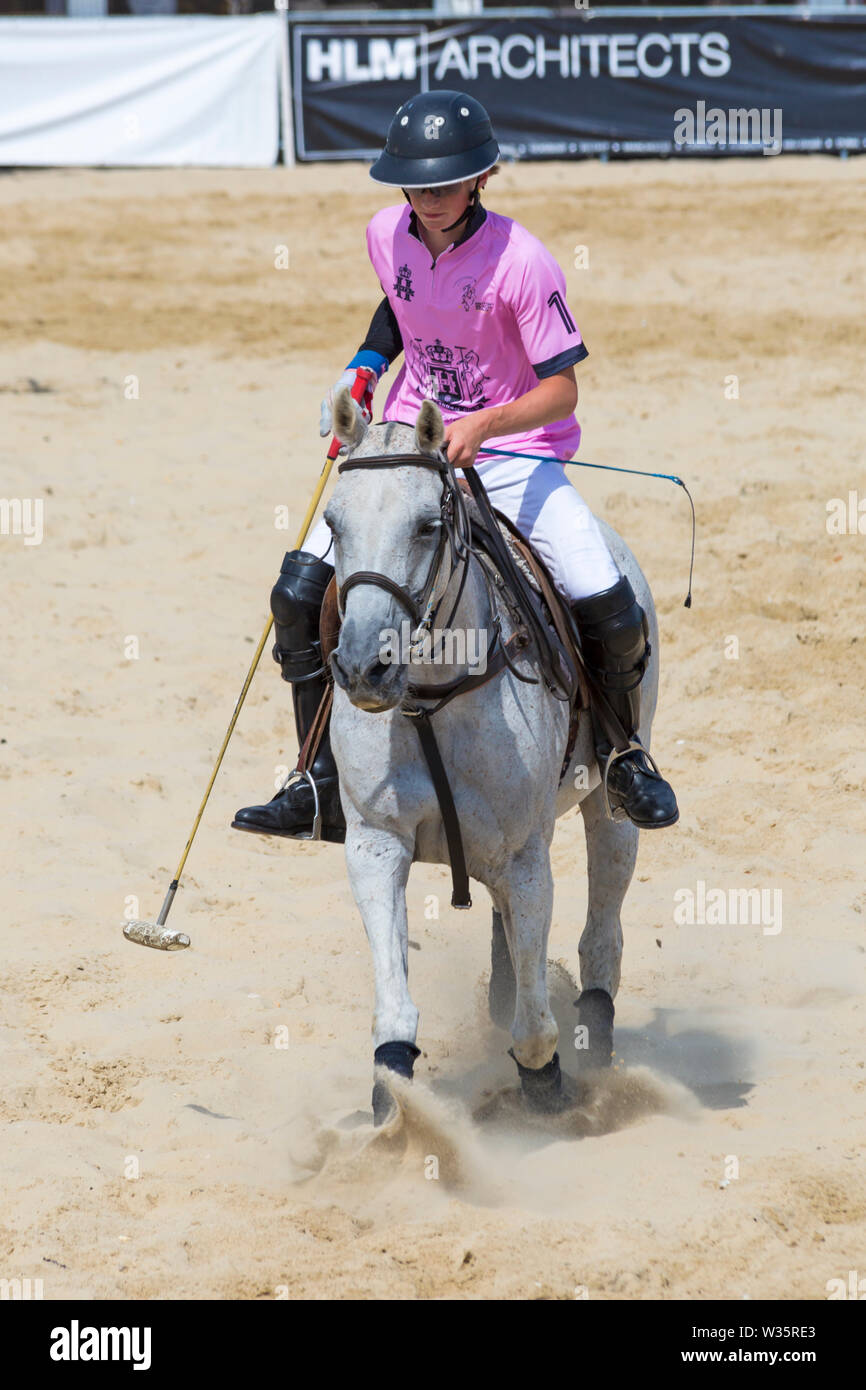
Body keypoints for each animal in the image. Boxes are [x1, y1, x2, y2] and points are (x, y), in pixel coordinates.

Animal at [323, 389, 656, 1117]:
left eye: (427, 526)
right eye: (332, 523)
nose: (363, 669)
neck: (430, 696)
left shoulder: (525, 858)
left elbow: (534, 1028)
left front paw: (548, 1091)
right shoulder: (375, 844)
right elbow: (394, 1010)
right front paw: (395, 1114)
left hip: (609, 804)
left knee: (602, 936)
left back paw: (597, 1055)